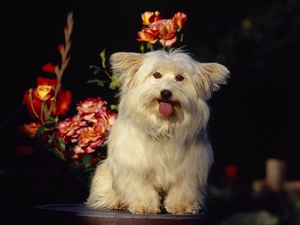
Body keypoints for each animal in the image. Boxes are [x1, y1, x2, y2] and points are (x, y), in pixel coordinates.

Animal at [86, 48, 230, 214]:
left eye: (180, 78)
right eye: (156, 75)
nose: (166, 93)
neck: (163, 126)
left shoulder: (189, 171)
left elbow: (183, 189)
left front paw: (180, 206)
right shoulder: (134, 167)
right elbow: (140, 187)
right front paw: (144, 206)